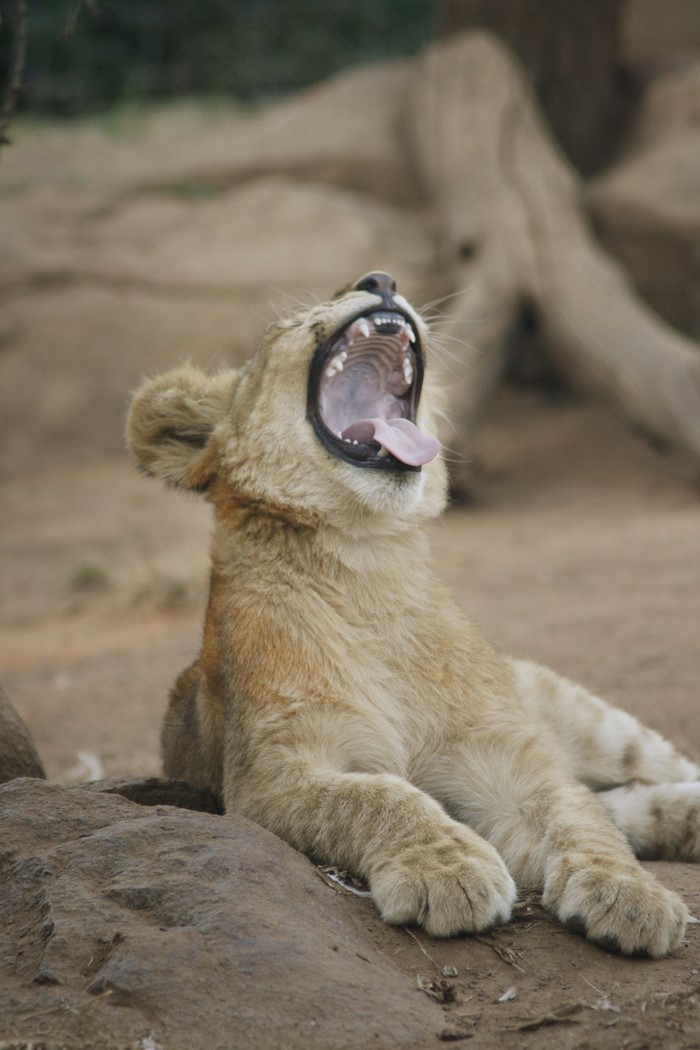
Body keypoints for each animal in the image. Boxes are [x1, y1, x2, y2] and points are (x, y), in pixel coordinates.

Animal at [127, 271, 700, 957]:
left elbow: (577, 816)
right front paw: (447, 872)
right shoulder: (267, 776)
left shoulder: (509, 757)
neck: (370, 566)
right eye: (291, 322)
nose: (380, 280)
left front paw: (630, 893)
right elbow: (380, 795)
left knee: (635, 781)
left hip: (593, 722)